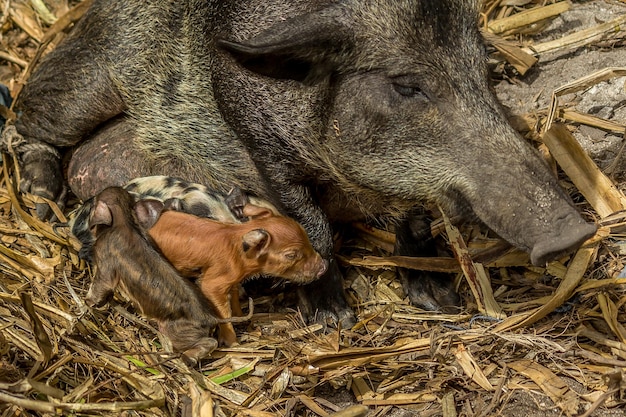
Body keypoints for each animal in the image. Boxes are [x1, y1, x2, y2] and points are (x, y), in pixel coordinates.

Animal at [3, 0, 596, 324]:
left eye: (485, 71)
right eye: (406, 85)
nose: (573, 232)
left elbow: (415, 219)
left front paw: (438, 302)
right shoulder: (261, 140)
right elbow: (313, 225)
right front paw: (333, 320)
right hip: (89, 79)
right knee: (26, 114)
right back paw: (41, 198)